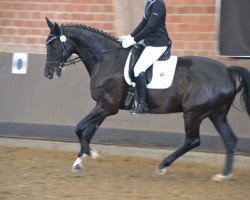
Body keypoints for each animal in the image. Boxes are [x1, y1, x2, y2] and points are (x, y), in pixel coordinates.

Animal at [45, 18, 250, 181]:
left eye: (54, 46)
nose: (48, 74)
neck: (107, 59)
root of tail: (227, 71)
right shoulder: (103, 106)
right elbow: (87, 132)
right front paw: (79, 162)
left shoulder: (107, 106)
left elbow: (79, 128)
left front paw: (94, 155)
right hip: (216, 114)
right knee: (229, 139)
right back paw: (224, 175)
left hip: (193, 113)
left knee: (193, 141)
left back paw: (163, 166)